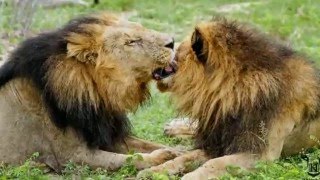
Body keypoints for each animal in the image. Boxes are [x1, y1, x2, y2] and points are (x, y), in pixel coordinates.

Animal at [0, 12, 180, 172]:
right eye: (131, 42)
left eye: (141, 28)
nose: (172, 42)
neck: (99, 95)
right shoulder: (70, 155)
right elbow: (130, 158)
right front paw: (162, 156)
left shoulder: (104, 133)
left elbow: (147, 144)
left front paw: (179, 151)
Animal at [138, 16, 320, 179]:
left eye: (177, 53)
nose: (169, 45)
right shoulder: (218, 141)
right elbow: (186, 157)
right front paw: (153, 171)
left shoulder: (261, 155)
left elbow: (215, 163)